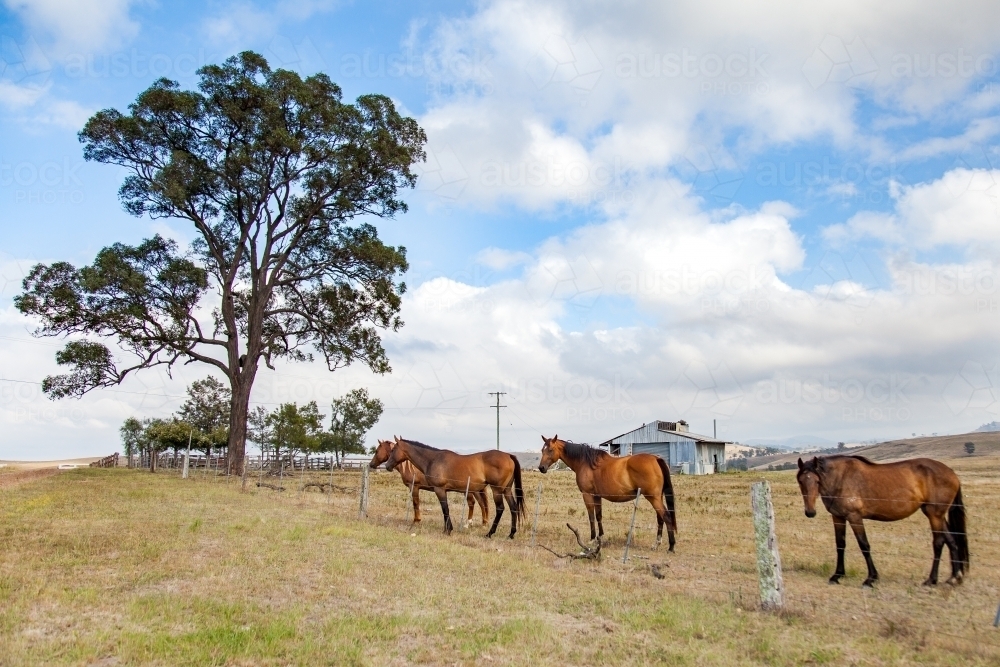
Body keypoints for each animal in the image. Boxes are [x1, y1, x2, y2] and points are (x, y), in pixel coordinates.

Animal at [382, 438, 528, 536]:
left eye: (393, 450)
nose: (387, 466)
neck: (433, 459)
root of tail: (508, 455)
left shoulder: (439, 490)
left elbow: (445, 508)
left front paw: (448, 530)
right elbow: (445, 509)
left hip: (496, 490)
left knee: (500, 509)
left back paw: (490, 533)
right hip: (507, 490)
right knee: (513, 508)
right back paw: (511, 534)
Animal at [540, 436, 680, 552]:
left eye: (550, 450)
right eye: (542, 450)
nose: (541, 468)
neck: (586, 462)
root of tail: (656, 458)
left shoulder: (587, 495)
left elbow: (591, 517)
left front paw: (592, 538)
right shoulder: (597, 496)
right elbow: (599, 516)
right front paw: (600, 537)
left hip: (653, 498)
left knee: (666, 517)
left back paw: (671, 546)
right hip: (656, 497)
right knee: (660, 518)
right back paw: (656, 544)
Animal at [796, 456, 968, 588]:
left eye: (817, 481)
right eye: (801, 481)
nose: (810, 512)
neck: (840, 479)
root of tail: (952, 473)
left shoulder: (855, 517)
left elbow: (864, 545)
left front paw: (871, 578)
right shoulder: (838, 517)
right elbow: (840, 545)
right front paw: (837, 575)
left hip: (934, 515)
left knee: (938, 543)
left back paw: (931, 580)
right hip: (936, 515)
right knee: (951, 541)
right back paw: (954, 577)